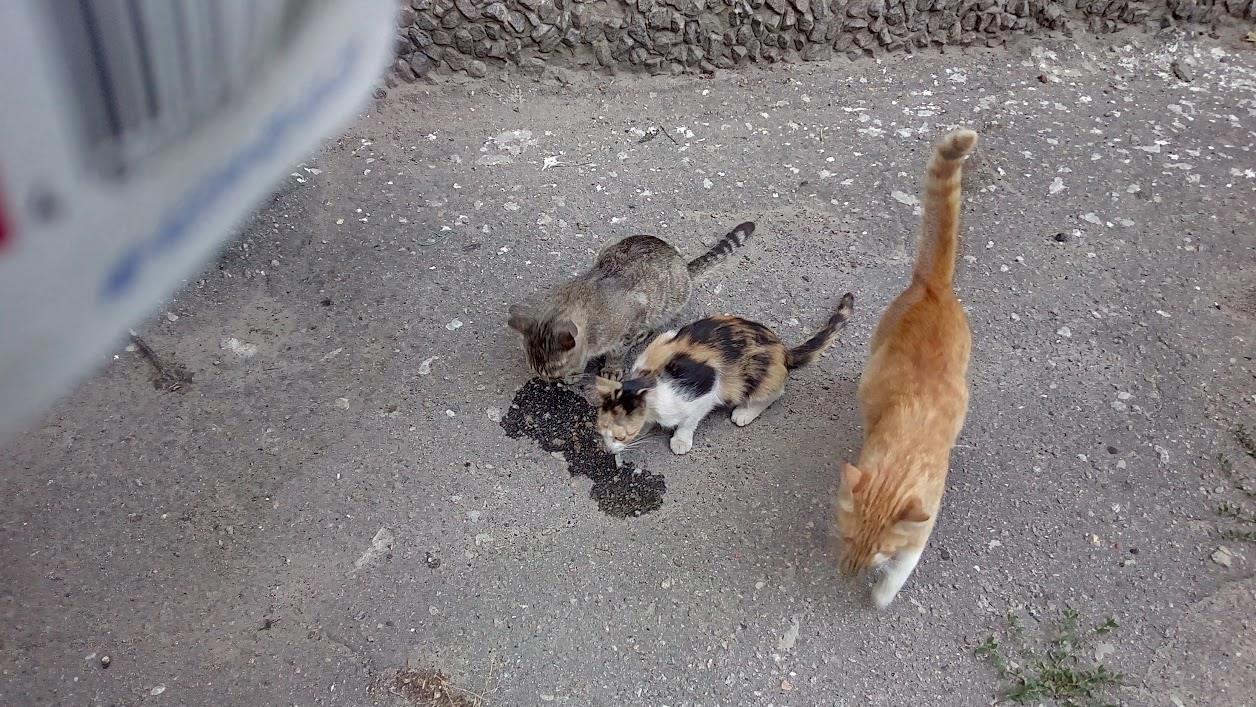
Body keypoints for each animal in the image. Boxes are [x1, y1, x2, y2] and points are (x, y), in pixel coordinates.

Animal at [508, 222, 756, 381]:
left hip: (668, 302)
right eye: (533, 365)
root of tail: (683, 265)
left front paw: (610, 368)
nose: (544, 378)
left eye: (555, 367)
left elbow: (617, 352)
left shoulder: (629, 321)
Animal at [595, 292, 854, 456]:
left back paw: (744, 413)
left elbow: (689, 420)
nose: (608, 450)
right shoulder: (665, 338)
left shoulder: (706, 391)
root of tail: (783, 350)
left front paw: (680, 439)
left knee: (775, 392)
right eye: (602, 433)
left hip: (755, 376)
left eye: (619, 437)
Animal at [836, 128, 978, 609]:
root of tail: (934, 286)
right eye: (848, 539)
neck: (901, 461)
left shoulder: (921, 530)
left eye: (879, 551)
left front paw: (880, 596)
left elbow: (901, 572)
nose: (849, 571)